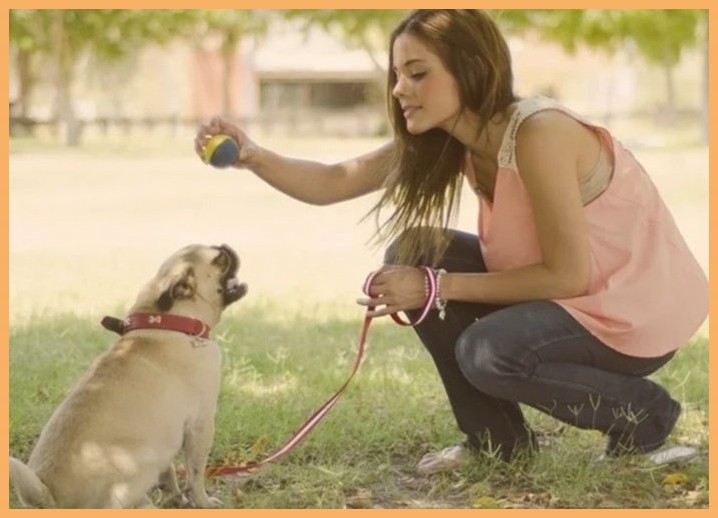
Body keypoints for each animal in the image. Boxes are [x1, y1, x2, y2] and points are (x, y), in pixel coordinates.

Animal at [7, 246, 250, 510]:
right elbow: (196, 474)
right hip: (142, 460)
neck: (172, 321)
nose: (227, 247)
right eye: (220, 259)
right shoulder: (201, 425)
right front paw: (203, 502)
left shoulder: (164, 435)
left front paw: (176, 497)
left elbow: (169, 473)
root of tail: (49, 497)